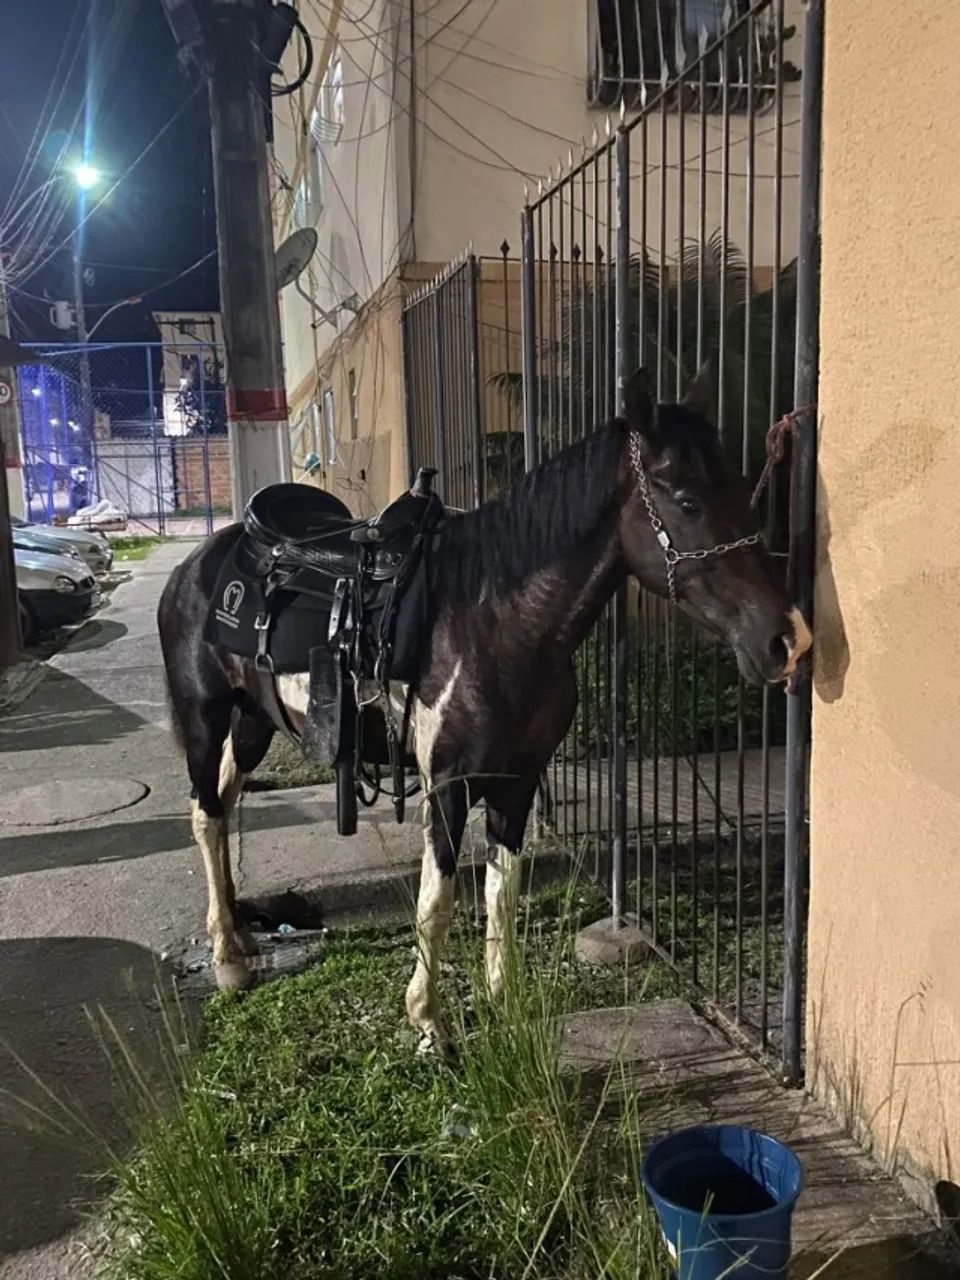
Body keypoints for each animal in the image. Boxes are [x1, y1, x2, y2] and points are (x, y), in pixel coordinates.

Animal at [157, 369, 811, 1050]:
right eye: (686, 501)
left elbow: (503, 890)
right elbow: (439, 902)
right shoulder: (448, 785)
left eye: (741, 487)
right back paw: (228, 959)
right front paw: (428, 1022)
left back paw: (239, 934)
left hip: (253, 722)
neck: (496, 622)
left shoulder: (516, 782)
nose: (787, 640)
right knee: (205, 814)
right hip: (205, 717)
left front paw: (505, 1002)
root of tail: (199, 563)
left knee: (224, 804)